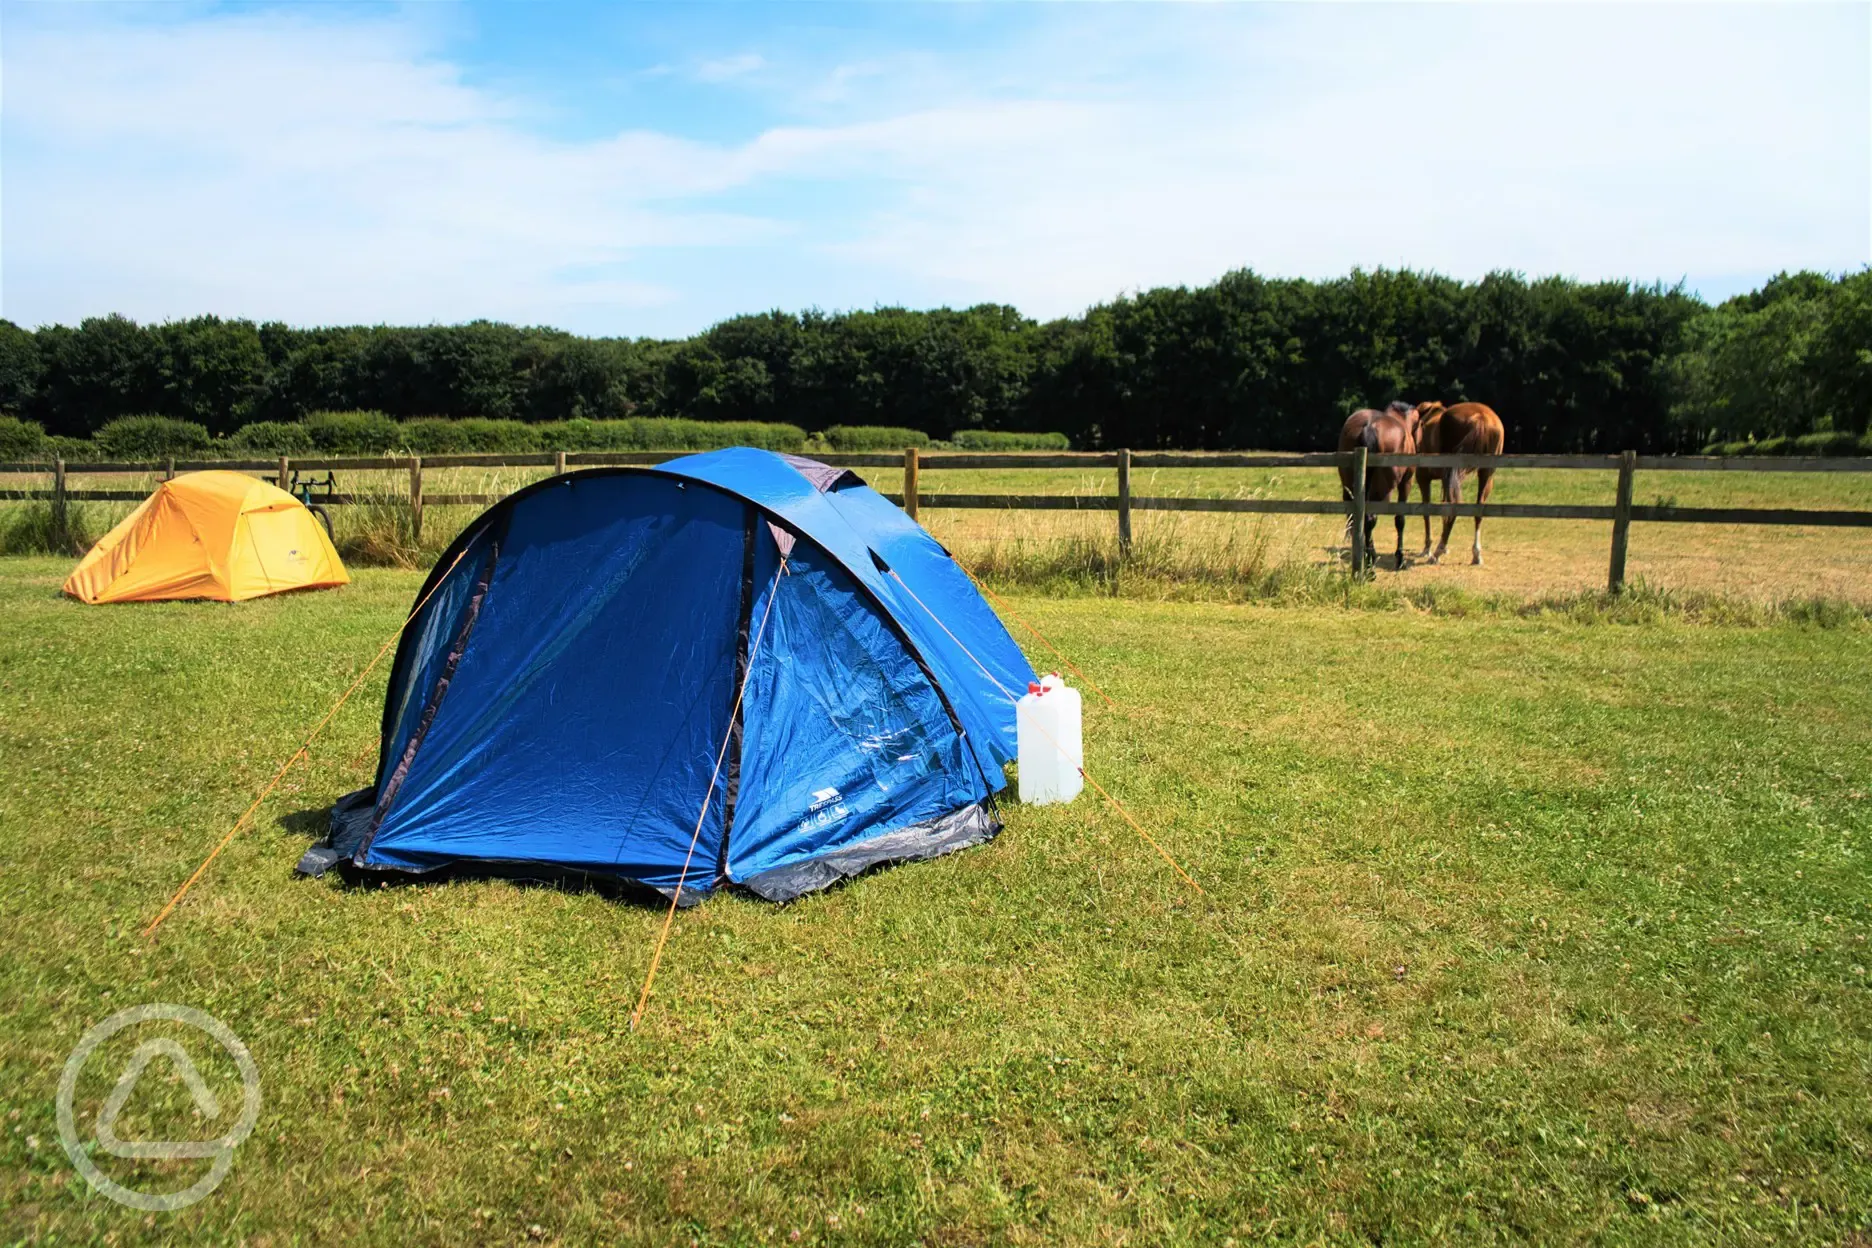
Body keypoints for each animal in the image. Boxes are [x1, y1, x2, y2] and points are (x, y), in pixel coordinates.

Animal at [1332, 402, 1415, 572]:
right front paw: (1400, 559)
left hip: (1349, 487)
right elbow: (1400, 520)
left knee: (1355, 518)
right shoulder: (1406, 483)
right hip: (1382, 490)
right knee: (1369, 519)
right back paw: (1371, 563)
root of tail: (1369, 427)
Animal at [1415, 402, 1505, 565]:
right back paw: (1476, 554)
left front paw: (1427, 548)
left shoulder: (1423, 477)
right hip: (1486, 474)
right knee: (1478, 510)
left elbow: (1427, 511)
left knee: (1453, 506)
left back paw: (1437, 552)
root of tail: (1480, 417)